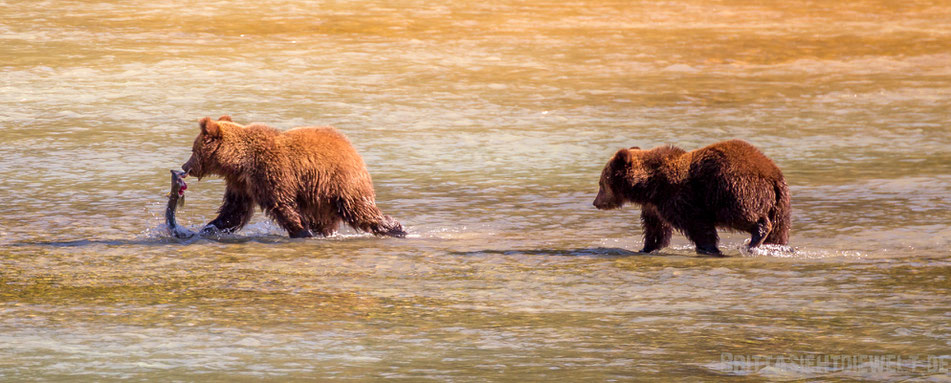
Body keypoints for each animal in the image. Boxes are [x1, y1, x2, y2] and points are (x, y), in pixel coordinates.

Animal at [181, 115, 406, 238]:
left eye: (193, 149)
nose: (185, 166)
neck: (238, 163)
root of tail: (351, 147)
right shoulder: (242, 184)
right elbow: (233, 212)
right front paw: (207, 228)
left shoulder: (269, 172)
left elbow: (282, 204)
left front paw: (301, 232)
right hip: (319, 196)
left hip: (339, 182)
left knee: (360, 209)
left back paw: (395, 228)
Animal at [596, 140, 788, 256]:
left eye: (601, 183)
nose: (596, 202)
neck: (649, 185)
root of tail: (773, 175)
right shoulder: (655, 206)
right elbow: (656, 228)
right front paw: (647, 248)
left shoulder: (680, 196)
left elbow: (697, 224)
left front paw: (708, 248)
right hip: (780, 204)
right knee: (779, 229)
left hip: (733, 190)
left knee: (742, 214)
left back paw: (754, 239)